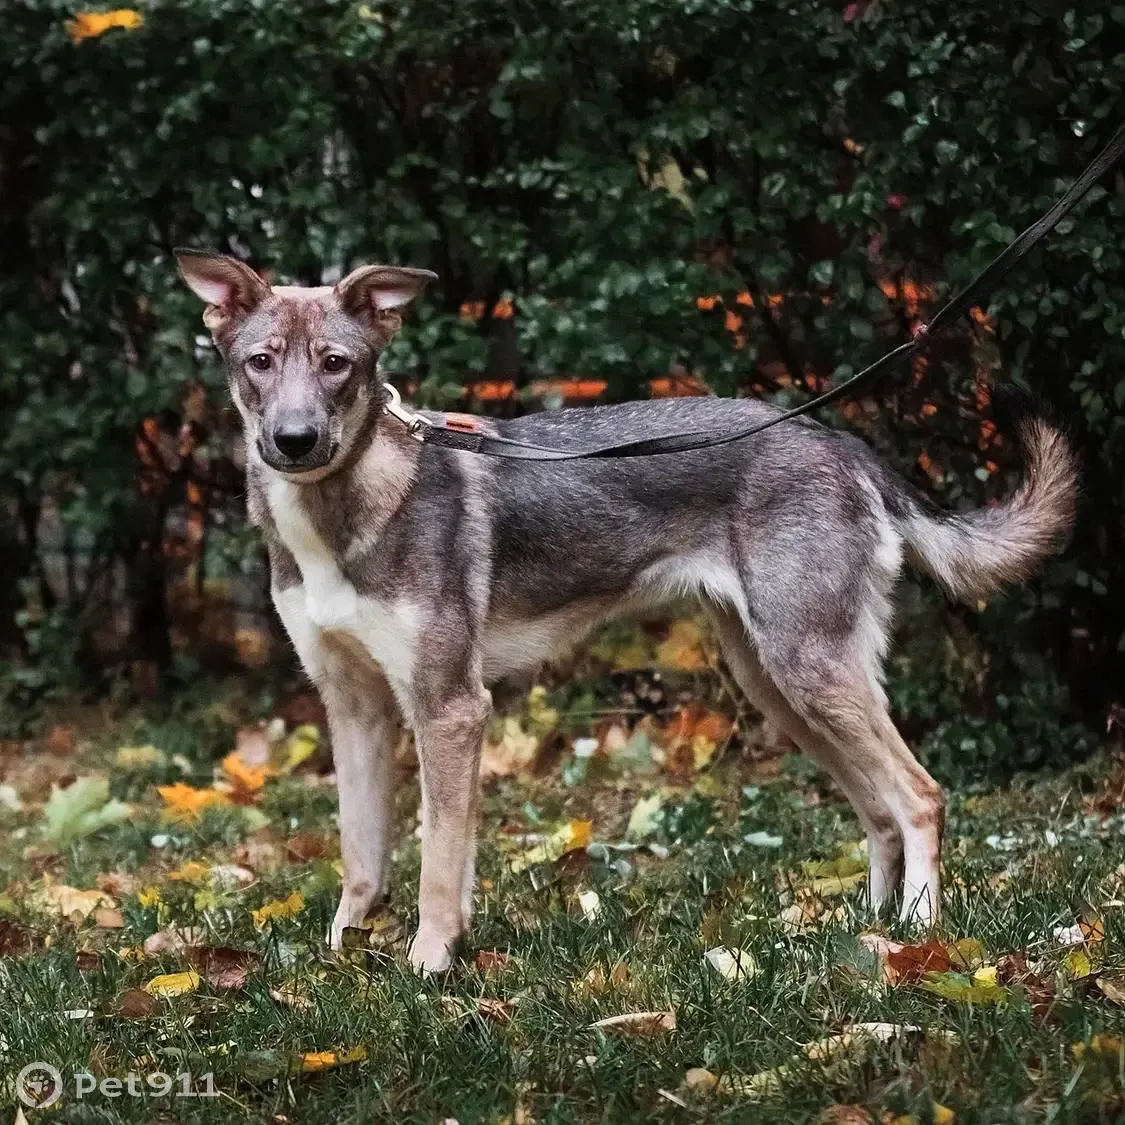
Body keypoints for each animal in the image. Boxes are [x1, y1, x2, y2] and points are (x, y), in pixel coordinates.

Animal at [177, 250, 1080, 972]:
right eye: (260, 362)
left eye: (336, 364)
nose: (293, 440)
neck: (338, 511)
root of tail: (838, 441)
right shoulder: (356, 709)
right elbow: (365, 857)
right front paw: (340, 961)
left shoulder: (449, 707)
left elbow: (436, 861)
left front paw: (429, 964)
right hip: (780, 687)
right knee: (881, 810)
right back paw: (865, 930)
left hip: (809, 672)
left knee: (919, 794)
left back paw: (920, 940)